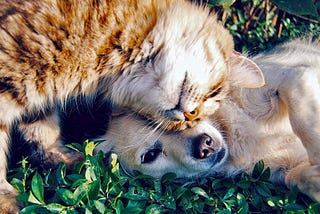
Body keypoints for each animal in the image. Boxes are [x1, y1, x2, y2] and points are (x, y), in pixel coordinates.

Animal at [0, 0, 264, 211]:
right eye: (215, 93)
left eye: (195, 118)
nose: (189, 115)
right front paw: (8, 204)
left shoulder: (37, 99)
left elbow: (42, 132)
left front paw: (67, 162)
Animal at [95, 38, 320, 202]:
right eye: (150, 155)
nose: (204, 146)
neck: (233, 135)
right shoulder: (278, 169)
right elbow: (295, 177)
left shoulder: (293, 76)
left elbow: (302, 113)